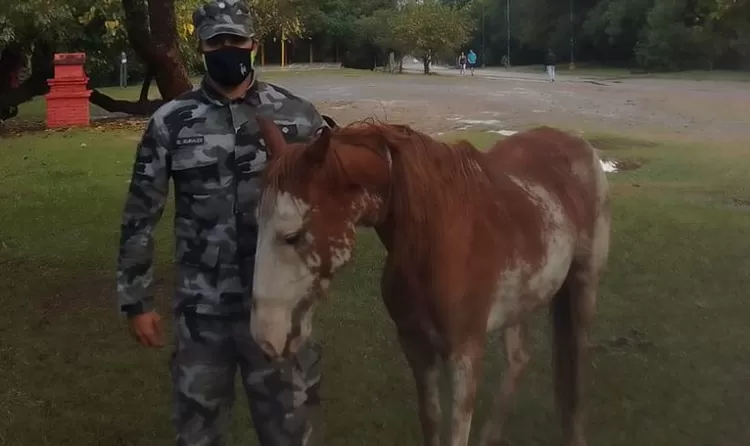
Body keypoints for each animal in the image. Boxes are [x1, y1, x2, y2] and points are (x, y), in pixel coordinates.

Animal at [250, 116, 612, 446]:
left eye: (292, 236)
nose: (265, 338)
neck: (435, 240)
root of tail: (578, 143)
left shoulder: (465, 354)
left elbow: (455, 431)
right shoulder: (416, 346)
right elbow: (431, 419)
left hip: (583, 289)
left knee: (575, 375)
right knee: (519, 359)